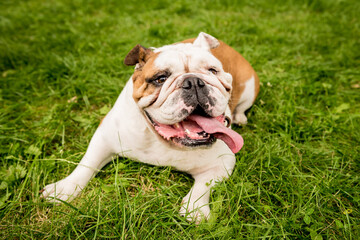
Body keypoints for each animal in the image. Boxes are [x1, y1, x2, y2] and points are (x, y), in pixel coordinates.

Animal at [41, 31, 258, 221]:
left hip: (249, 88)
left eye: (212, 71)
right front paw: (64, 189)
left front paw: (195, 209)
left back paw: (239, 117)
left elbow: (203, 186)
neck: (161, 139)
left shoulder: (222, 162)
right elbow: (86, 165)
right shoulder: (104, 137)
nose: (194, 81)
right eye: (160, 79)